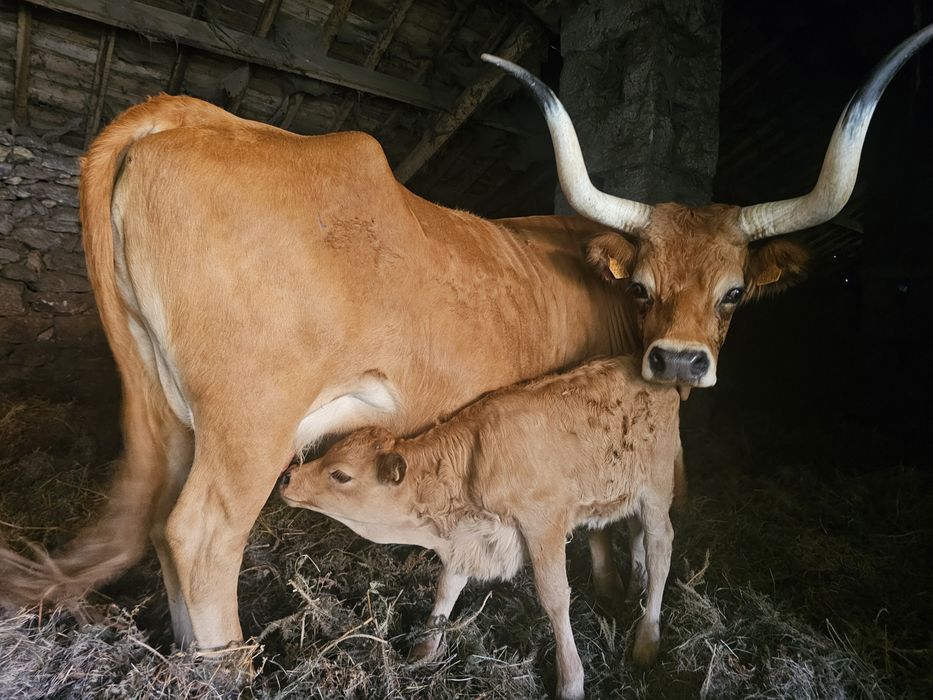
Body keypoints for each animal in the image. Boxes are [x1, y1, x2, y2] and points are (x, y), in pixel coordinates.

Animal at [0, 25, 929, 658]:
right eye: (641, 286)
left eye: (733, 292)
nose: (677, 361)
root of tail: (175, 114)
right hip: (248, 424)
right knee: (199, 536)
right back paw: (229, 666)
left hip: (165, 413)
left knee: (159, 525)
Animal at [279, 355, 682, 700]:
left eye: (340, 474)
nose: (287, 478)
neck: (474, 461)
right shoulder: (467, 538)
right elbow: (447, 587)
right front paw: (425, 649)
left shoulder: (543, 523)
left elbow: (554, 598)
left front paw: (571, 681)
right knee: (635, 533)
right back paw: (635, 583)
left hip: (656, 491)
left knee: (661, 549)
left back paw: (647, 638)